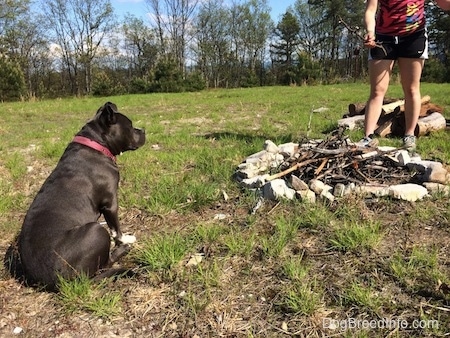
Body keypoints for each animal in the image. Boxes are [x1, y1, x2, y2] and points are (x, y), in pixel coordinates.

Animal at [3, 102, 146, 290]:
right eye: (129, 126)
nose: (143, 130)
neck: (96, 143)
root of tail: (62, 283)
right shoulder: (111, 202)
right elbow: (116, 229)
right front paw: (125, 239)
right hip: (96, 232)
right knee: (104, 264)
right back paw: (122, 250)